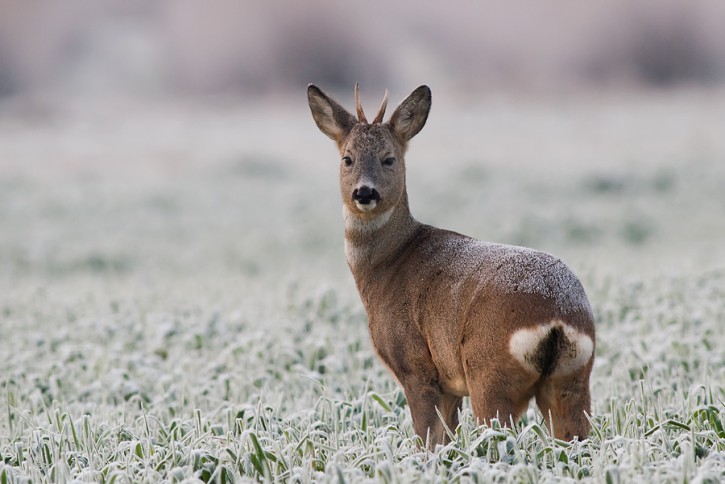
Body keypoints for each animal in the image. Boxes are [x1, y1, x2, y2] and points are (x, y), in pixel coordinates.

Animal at [306, 82, 592, 446]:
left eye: (389, 158)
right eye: (347, 158)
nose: (364, 193)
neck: (388, 265)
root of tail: (557, 317)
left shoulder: (417, 366)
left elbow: (427, 440)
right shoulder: (451, 386)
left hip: (489, 372)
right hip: (572, 378)